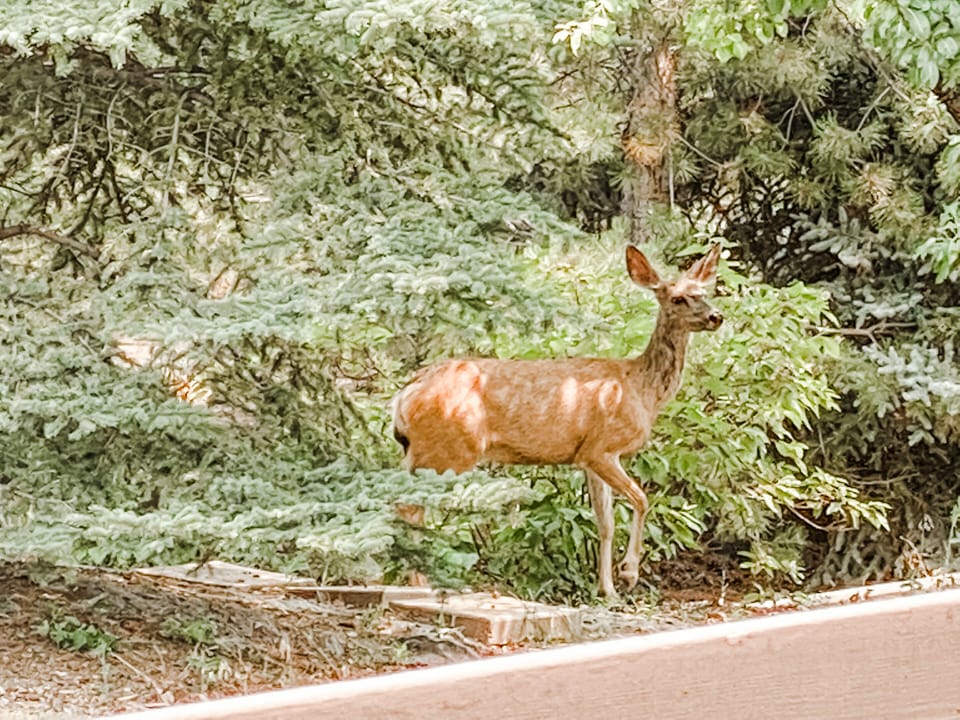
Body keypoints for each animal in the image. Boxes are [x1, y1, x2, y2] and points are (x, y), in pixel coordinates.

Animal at [391, 244, 723, 597]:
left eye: (704, 292)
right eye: (678, 298)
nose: (716, 316)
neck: (641, 388)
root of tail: (404, 396)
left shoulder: (589, 458)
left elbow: (606, 523)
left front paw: (607, 590)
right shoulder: (602, 448)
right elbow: (642, 499)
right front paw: (628, 574)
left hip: (425, 451)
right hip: (449, 448)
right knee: (409, 505)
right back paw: (419, 585)